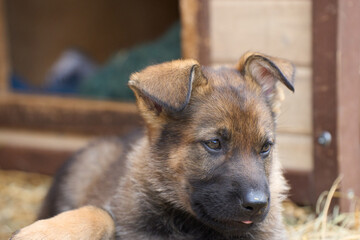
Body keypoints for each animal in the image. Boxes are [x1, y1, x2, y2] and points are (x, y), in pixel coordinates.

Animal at [11, 52, 296, 240]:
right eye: (214, 143)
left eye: (265, 147)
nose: (257, 205)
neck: (192, 226)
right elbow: (101, 213)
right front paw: (42, 232)